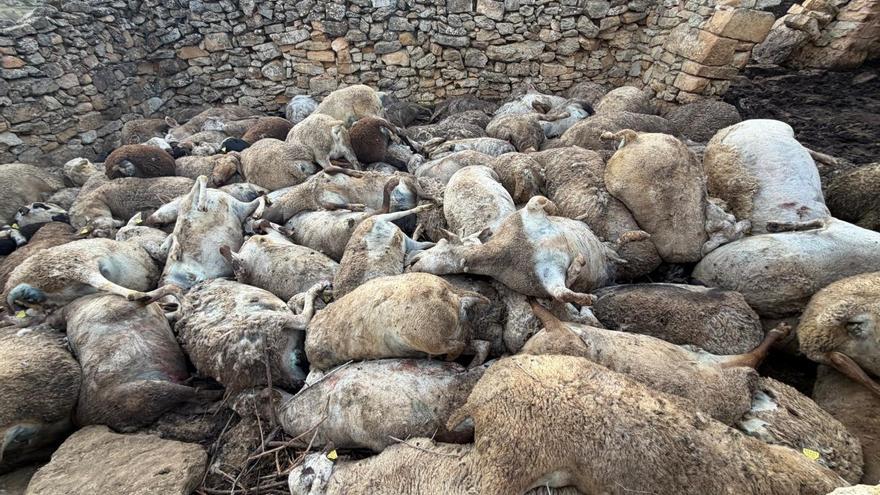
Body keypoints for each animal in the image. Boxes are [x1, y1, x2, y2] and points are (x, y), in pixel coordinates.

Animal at [410, 196, 644, 306]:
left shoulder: (529, 213)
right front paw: (581, 281)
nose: (412, 261)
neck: (511, 250)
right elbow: (562, 293)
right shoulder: (546, 278)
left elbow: (539, 201)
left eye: (442, 242)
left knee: (613, 245)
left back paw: (638, 236)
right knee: (614, 250)